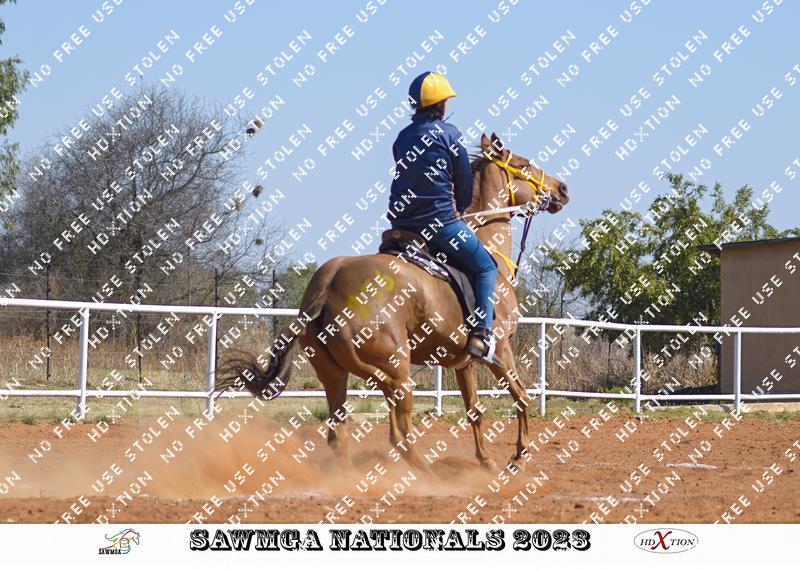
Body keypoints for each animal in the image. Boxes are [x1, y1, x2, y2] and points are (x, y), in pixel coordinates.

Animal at [218, 132, 569, 475]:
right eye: (524, 164)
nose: (562, 189)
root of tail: (328, 287)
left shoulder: (464, 363)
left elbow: (474, 411)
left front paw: (487, 462)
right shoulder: (500, 351)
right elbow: (522, 398)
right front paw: (518, 457)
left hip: (334, 375)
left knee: (338, 433)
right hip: (396, 370)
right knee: (399, 433)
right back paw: (430, 477)